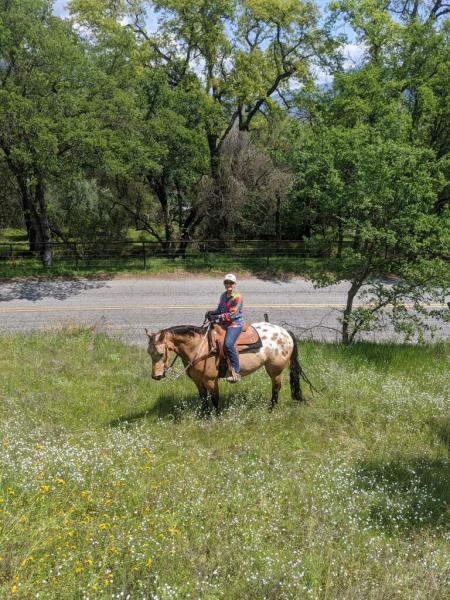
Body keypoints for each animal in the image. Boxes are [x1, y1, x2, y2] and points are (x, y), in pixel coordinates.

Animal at [146, 322, 308, 414]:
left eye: (161, 353)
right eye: (149, 352)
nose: (156, 376)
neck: (200, 347)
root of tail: (285, 332)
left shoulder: (211, 380)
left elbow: (215, 399)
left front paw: (217, 417)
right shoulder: (198, 381)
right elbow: (203, 398)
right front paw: (204, 415)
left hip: (275, 369)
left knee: (276, 388)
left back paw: (270, 409)